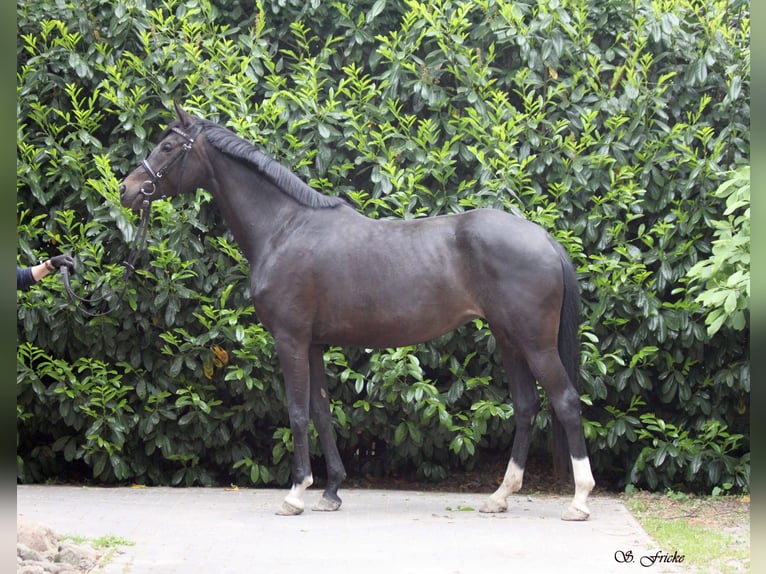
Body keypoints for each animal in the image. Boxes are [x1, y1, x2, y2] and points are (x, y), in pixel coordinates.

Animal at [119, 102, 595, 520]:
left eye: (167, 146)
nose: (127, 189)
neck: (284, 228)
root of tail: (545, 239)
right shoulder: (312, 343)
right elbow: (322, 413)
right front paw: (331, 492)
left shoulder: (290, 339)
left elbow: (296, 412)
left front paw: (295, 494)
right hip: (508, 339)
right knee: (526, 407)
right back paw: (500, 496)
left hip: (535, 343)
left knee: (566, 401)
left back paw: (579, 501)